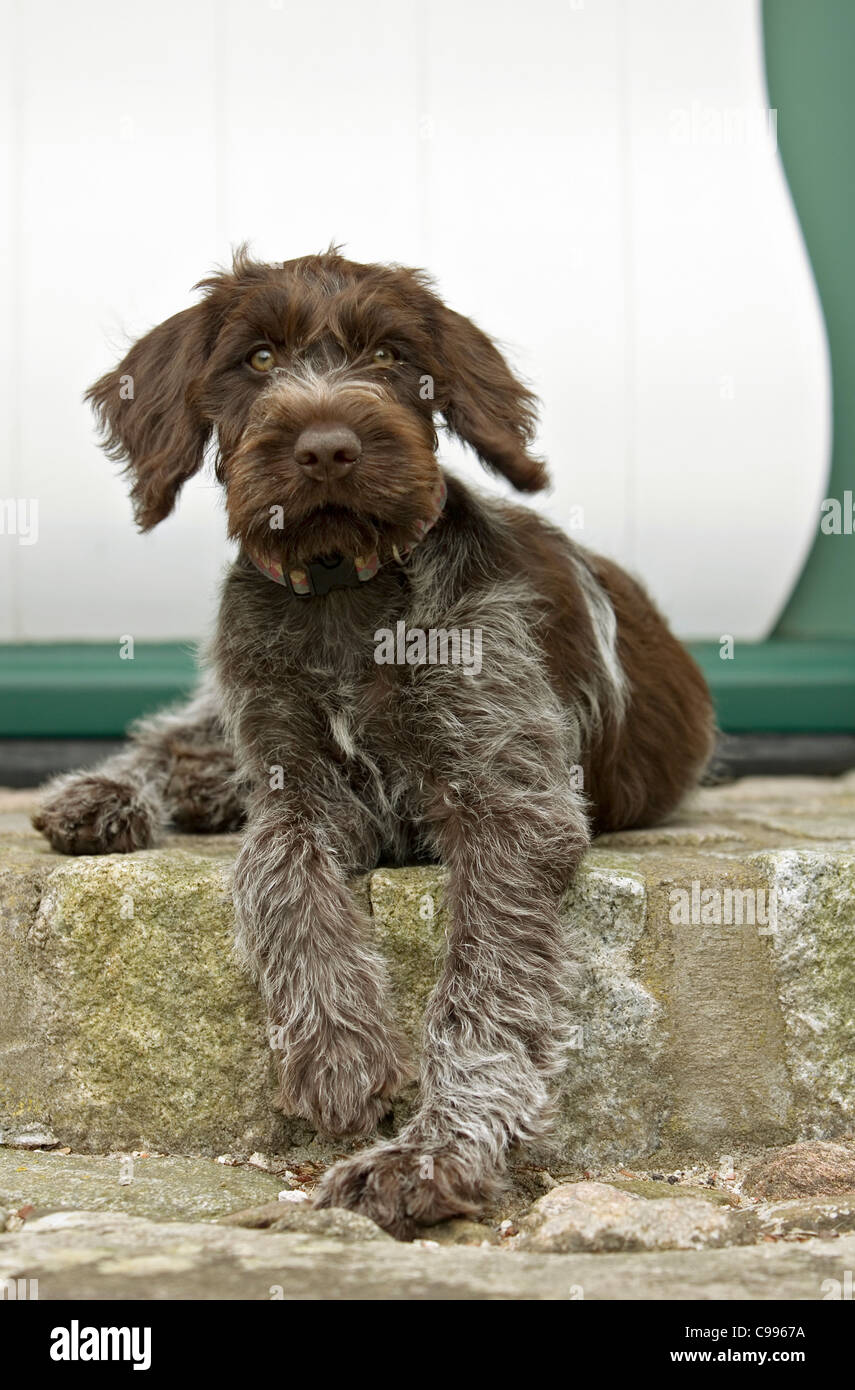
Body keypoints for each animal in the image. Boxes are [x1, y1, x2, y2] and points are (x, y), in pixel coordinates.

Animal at [33, 250, 717, 1239]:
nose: (326, 446)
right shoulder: (295, 787)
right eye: (259, 357)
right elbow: (277, 876)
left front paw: (431, 1155)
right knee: (185, 738)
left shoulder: (511, 803)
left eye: (391, 355)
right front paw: (338, 1052)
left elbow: (480, 989)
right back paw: (103, 797)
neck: (343, 596)